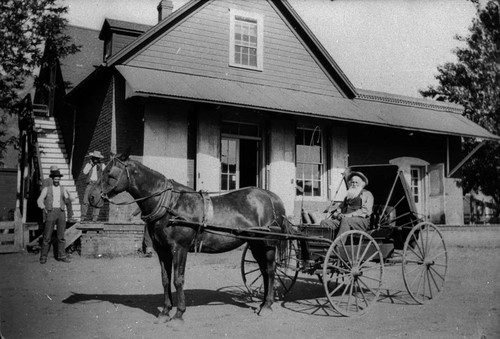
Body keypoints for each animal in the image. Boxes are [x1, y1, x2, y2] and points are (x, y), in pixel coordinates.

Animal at [88, 151, 292, 324]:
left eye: (109, 173)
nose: (91, 197)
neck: (170, 205)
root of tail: (272, 197)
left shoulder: (180, 248)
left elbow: (178, 279)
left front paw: (179, 313)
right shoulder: (162, 250)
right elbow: (165, 279)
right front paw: (165, 311)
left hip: (266, 243)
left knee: (270, 270)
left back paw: (267, 305)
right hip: (255, 244)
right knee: (264, 271)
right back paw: (263, 303)